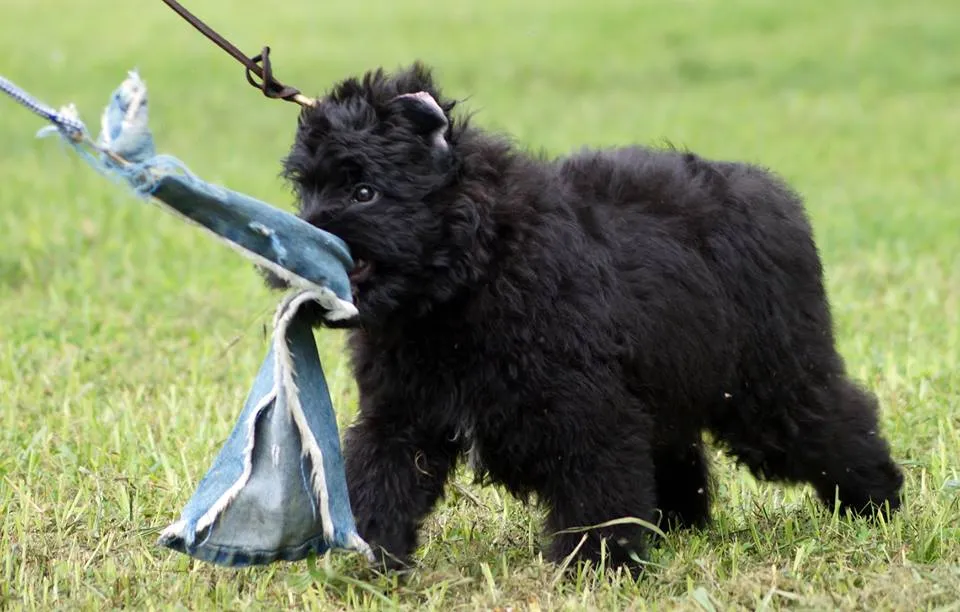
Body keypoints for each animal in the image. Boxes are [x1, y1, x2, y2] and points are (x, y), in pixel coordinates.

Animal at [266, 59, 904, 572]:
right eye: (307, 190)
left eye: (364, 192)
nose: (287, 246)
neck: (474, 270)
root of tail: (773, 195)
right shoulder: (402, 413)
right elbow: (380, 480)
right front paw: (364, 565)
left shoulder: (586, 409)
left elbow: (597, 491)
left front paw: (596, 569)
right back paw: (679, 525)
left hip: (769, 383)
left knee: (835, 420)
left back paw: (878, 502)